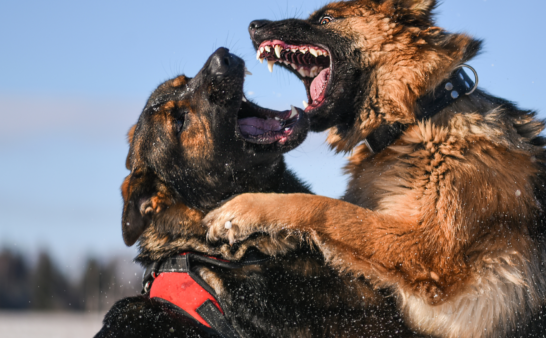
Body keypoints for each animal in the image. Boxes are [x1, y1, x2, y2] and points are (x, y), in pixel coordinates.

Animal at [203, 0, 544, 338]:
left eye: (326, 19)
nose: (254, 25)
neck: (416, 118)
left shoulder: (428, 250)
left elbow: (326, 209)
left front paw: (243, 209)